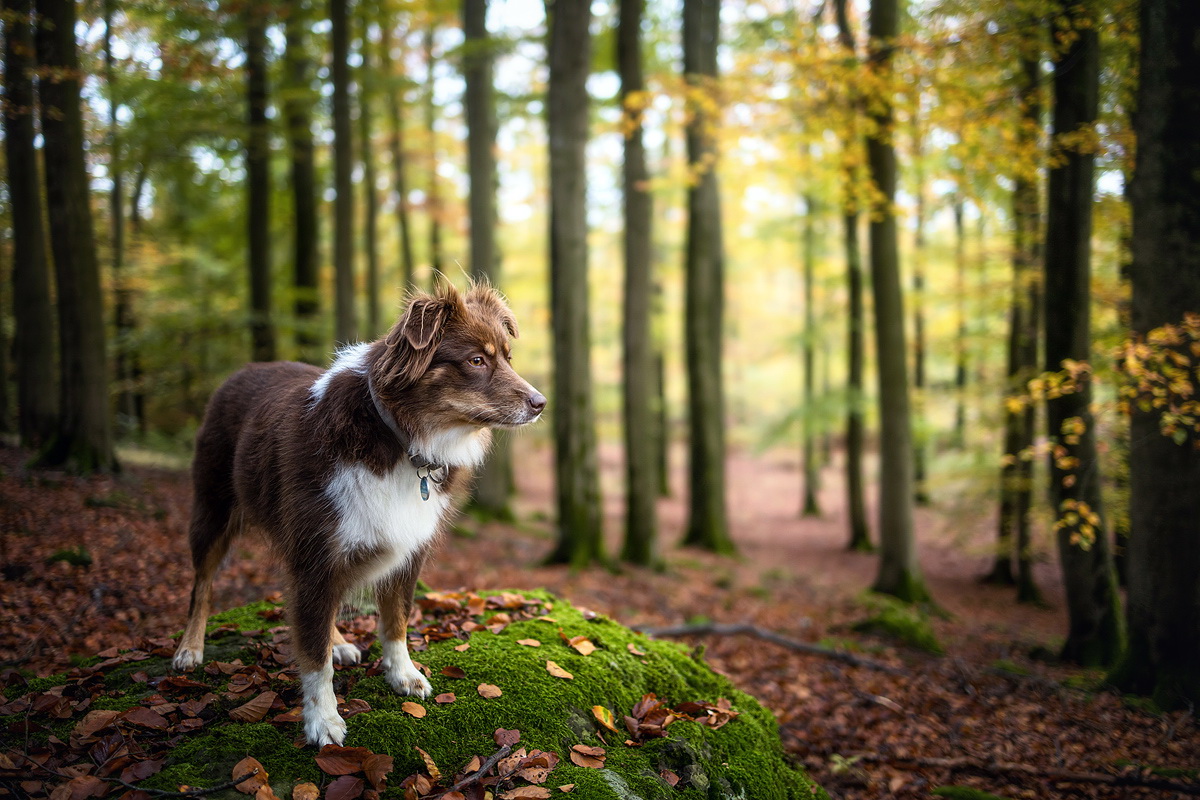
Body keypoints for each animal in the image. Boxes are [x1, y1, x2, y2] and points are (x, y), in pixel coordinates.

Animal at [172, 281, 544, 743]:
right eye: (476, 360)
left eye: (508, 358)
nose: (541, 402)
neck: (399, 437)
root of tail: (240, 371)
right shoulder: (316, 554)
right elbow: (313, 655)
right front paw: (322, 718)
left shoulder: (407, 547)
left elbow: (396, 620)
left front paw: (402, 674)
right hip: (213, 510)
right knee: (202, 586)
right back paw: (190, 647)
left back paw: (340, 640)